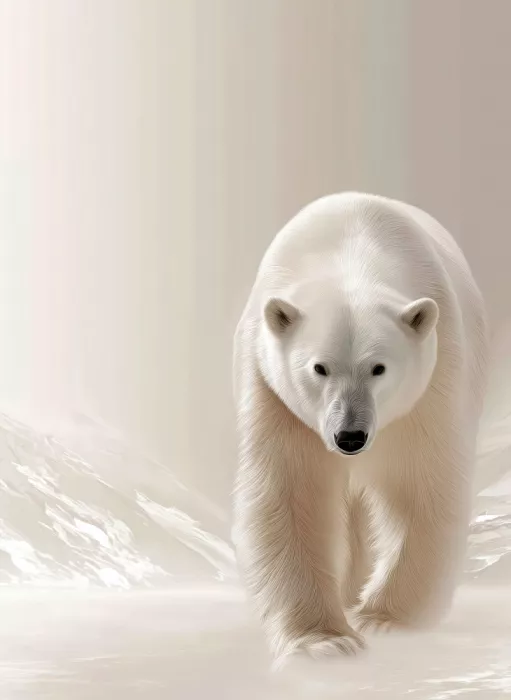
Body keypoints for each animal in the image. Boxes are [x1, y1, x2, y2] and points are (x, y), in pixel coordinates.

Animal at [232, 192, 488, 664]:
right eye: (319, 367)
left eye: (379, 368)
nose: (349, 436)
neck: (354, 246)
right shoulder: (274, 392)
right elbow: (291, 491)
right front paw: (324, 640)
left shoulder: (434, 379)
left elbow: (418, 484)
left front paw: (384, 620)